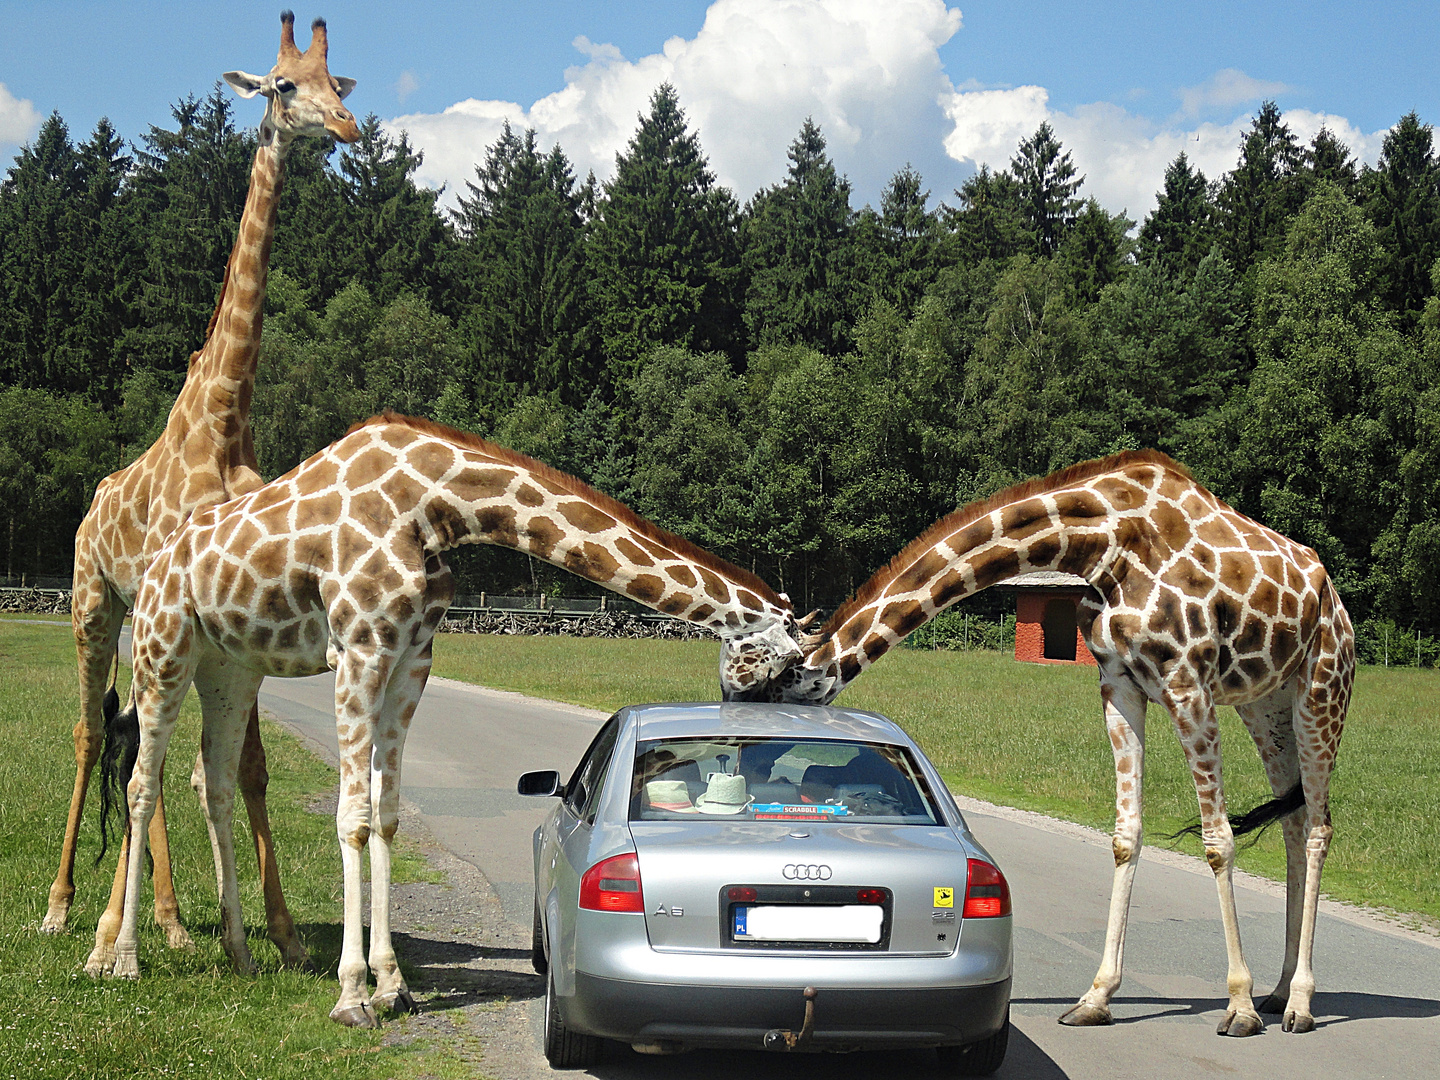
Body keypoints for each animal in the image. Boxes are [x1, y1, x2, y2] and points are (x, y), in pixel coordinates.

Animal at [49, 8, 365, 979]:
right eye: (285, 86)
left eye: (341, 83)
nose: (347, 130)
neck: (223, 421)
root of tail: (90, 504)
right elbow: (155, 760)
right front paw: (126, 931)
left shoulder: (243, 604)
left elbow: (242, 767)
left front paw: (282, 930)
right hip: (93, 604)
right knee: (94, 737)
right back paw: (73, 909)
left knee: (136, 746)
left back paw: (166, 915)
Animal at [97, 414, 806, 1031]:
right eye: (793, 669)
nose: (763, 742)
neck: (437, 505)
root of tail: (155, 565)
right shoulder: (358, 649)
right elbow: (352, 817)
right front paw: (351, 996)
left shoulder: (412, 658)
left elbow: (386, 814)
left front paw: (393, 986)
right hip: (163, 649)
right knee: (141, 782)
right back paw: (121, 960)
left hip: (230, 666)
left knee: (211, 782)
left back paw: (241, 957)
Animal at [737, 449, 1353, 1042]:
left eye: (775, 687)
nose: (755, 761)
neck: (1102, 541)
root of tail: (1336, 604)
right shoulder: (1120, 684)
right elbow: (1125, 835)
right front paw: (1096, 999)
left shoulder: (1187, 681)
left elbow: (1218, 841)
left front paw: (1239, 1007)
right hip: (1266, 704)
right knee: (1295, 822)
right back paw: (1280, 990)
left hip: (1322, 689)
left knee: (1319, 828)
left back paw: (1298, 1005)